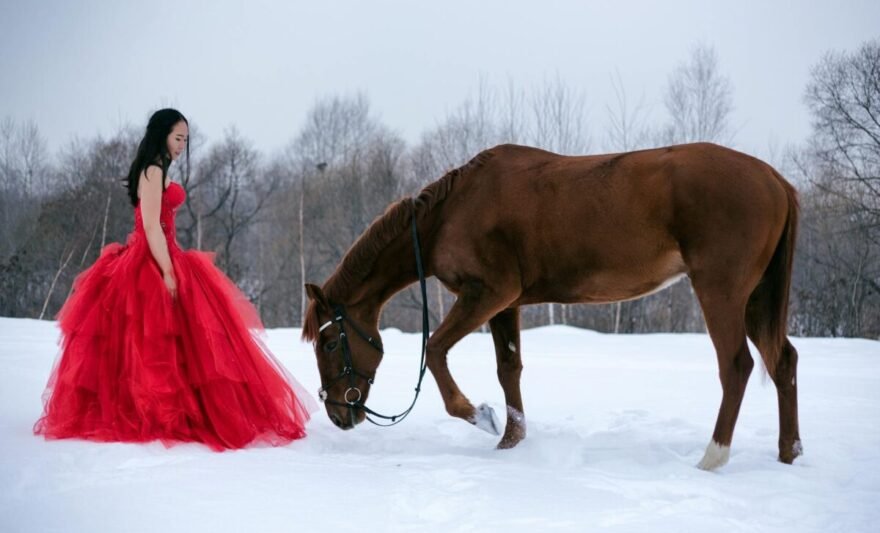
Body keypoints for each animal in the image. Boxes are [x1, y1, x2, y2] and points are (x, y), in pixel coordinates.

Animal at [302, 142, 801, 470]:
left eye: (328, 343)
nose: (338, 413)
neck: (450, 215)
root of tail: (774, 179)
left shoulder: (487, 294)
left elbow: (437, 349)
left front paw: (479, 415)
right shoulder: (506, 304)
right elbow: (509, 369)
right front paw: (511, 440)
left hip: (721, 291)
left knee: (736, 366)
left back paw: (712, 458)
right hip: (756, 298)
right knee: (784, 362)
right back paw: (788, 452)